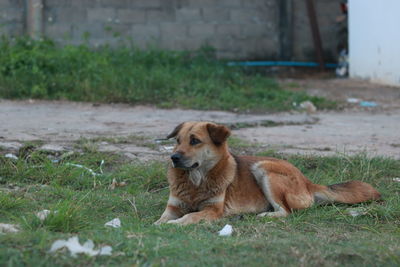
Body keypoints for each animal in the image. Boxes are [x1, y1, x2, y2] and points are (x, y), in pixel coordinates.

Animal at [154, 122, 382, 226]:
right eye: (178, 141)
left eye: (195, 141)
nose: (174, 157)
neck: (196, 180)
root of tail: (307, 182)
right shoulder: (173, 207)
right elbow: (160, 219)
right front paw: (157, 225)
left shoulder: (212, 210)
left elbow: (190, 216)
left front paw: (175, 224)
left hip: (264, 169)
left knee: (286, 212)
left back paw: (264, 215)